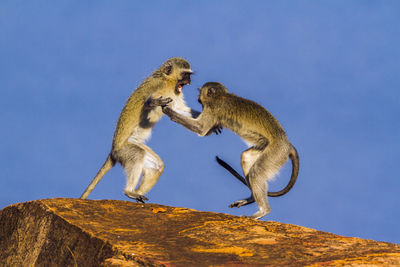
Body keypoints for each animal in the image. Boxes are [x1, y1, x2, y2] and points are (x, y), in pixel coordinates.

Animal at [79, 57, 197, 203]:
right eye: (185, 74)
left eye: (189, 75)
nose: (189, 81)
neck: (167, 81)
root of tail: (113, 150)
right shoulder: (158, 87)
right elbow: (149, 102)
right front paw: (152, 103)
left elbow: (181, 111)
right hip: (124, 151)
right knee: (138, 154)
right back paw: (129, 191)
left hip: (132, 145)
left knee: (157, 165)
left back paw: (138, 193)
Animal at [161, 82, 298, 220]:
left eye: (201, 94)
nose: (198, 98)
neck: (221, 96)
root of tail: (287, 144)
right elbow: (207, 130)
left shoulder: (214, 109)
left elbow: (201, 129)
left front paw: (169, 111)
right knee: (246, 157)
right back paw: (251, 199)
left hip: (277, 153)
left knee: (256, 172)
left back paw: (263, 210)